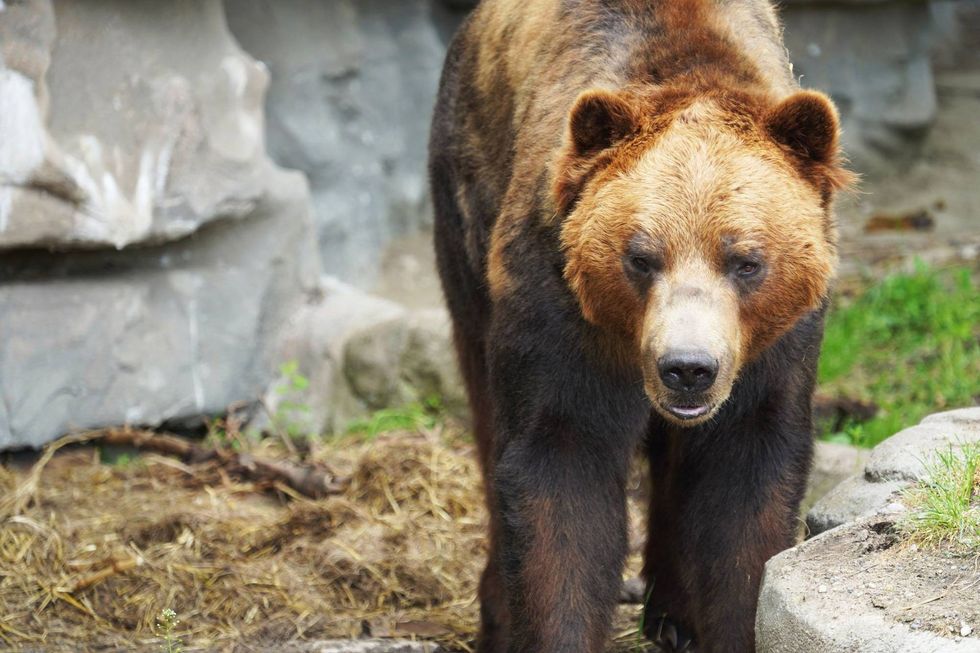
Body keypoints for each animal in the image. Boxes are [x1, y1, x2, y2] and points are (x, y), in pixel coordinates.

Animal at [428, 1, 852, 652]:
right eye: (640, 257)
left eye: (746, 261)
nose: (687, 369)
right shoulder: (558, 312)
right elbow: (560, 472)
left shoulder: (774, 347)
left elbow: (744, 482)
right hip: (467, 206)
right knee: (484, 404)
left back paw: (673, 611)